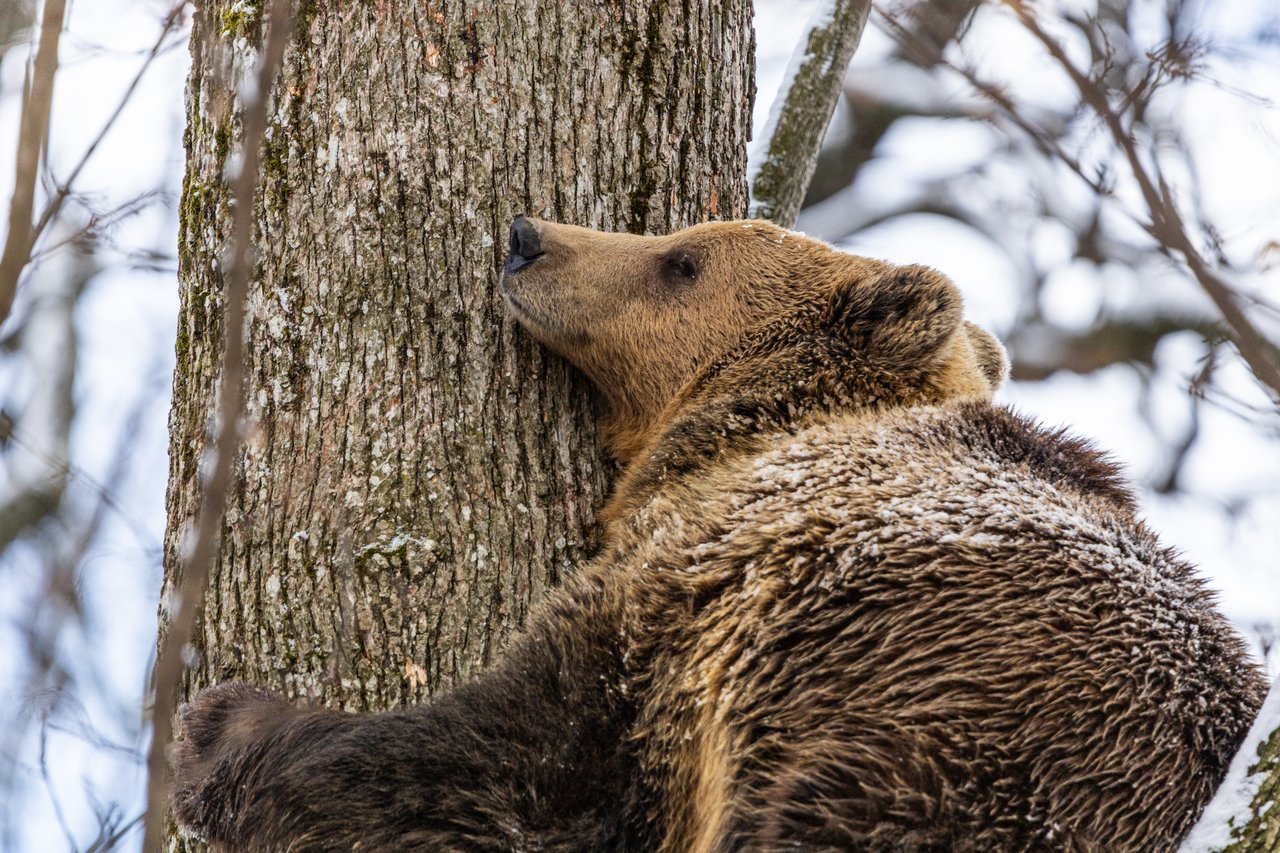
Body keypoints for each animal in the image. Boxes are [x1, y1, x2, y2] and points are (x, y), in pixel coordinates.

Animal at [167, 216, 1259, 845]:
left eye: (681, 260)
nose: (527, 233)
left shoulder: (711, 589)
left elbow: (528, 747)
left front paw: (224, 729)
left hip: (955, 737)